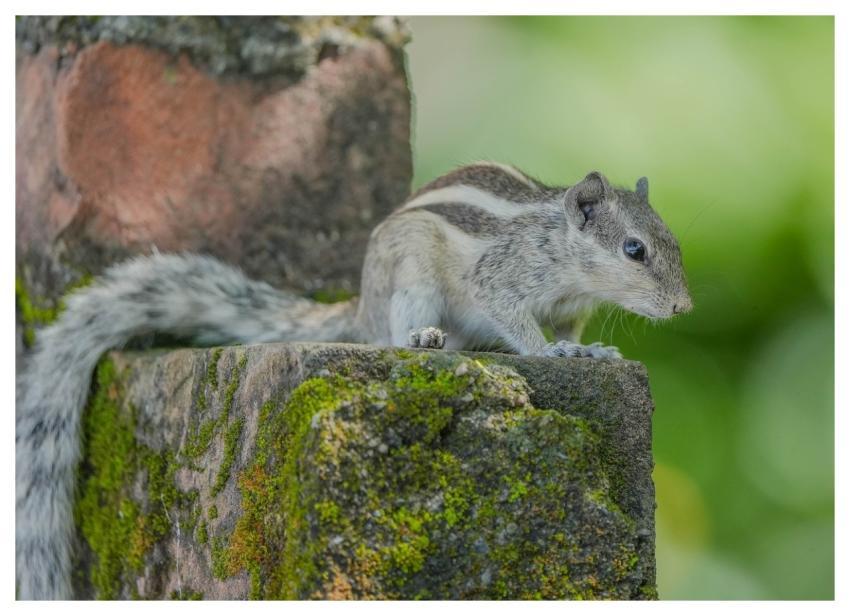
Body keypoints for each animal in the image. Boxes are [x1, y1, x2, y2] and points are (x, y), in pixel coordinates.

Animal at [16, 162, 691, 599]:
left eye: (673, 243)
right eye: (634, 250)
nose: (684, 308)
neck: (562, 249)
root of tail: (362, 305)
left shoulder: (571, 307)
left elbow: (572, 329)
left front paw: (590, 350)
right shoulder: (503, 281)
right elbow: (519, 326)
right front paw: (555, 354)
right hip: (410, 282)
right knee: (396, 333)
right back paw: (423, 339)